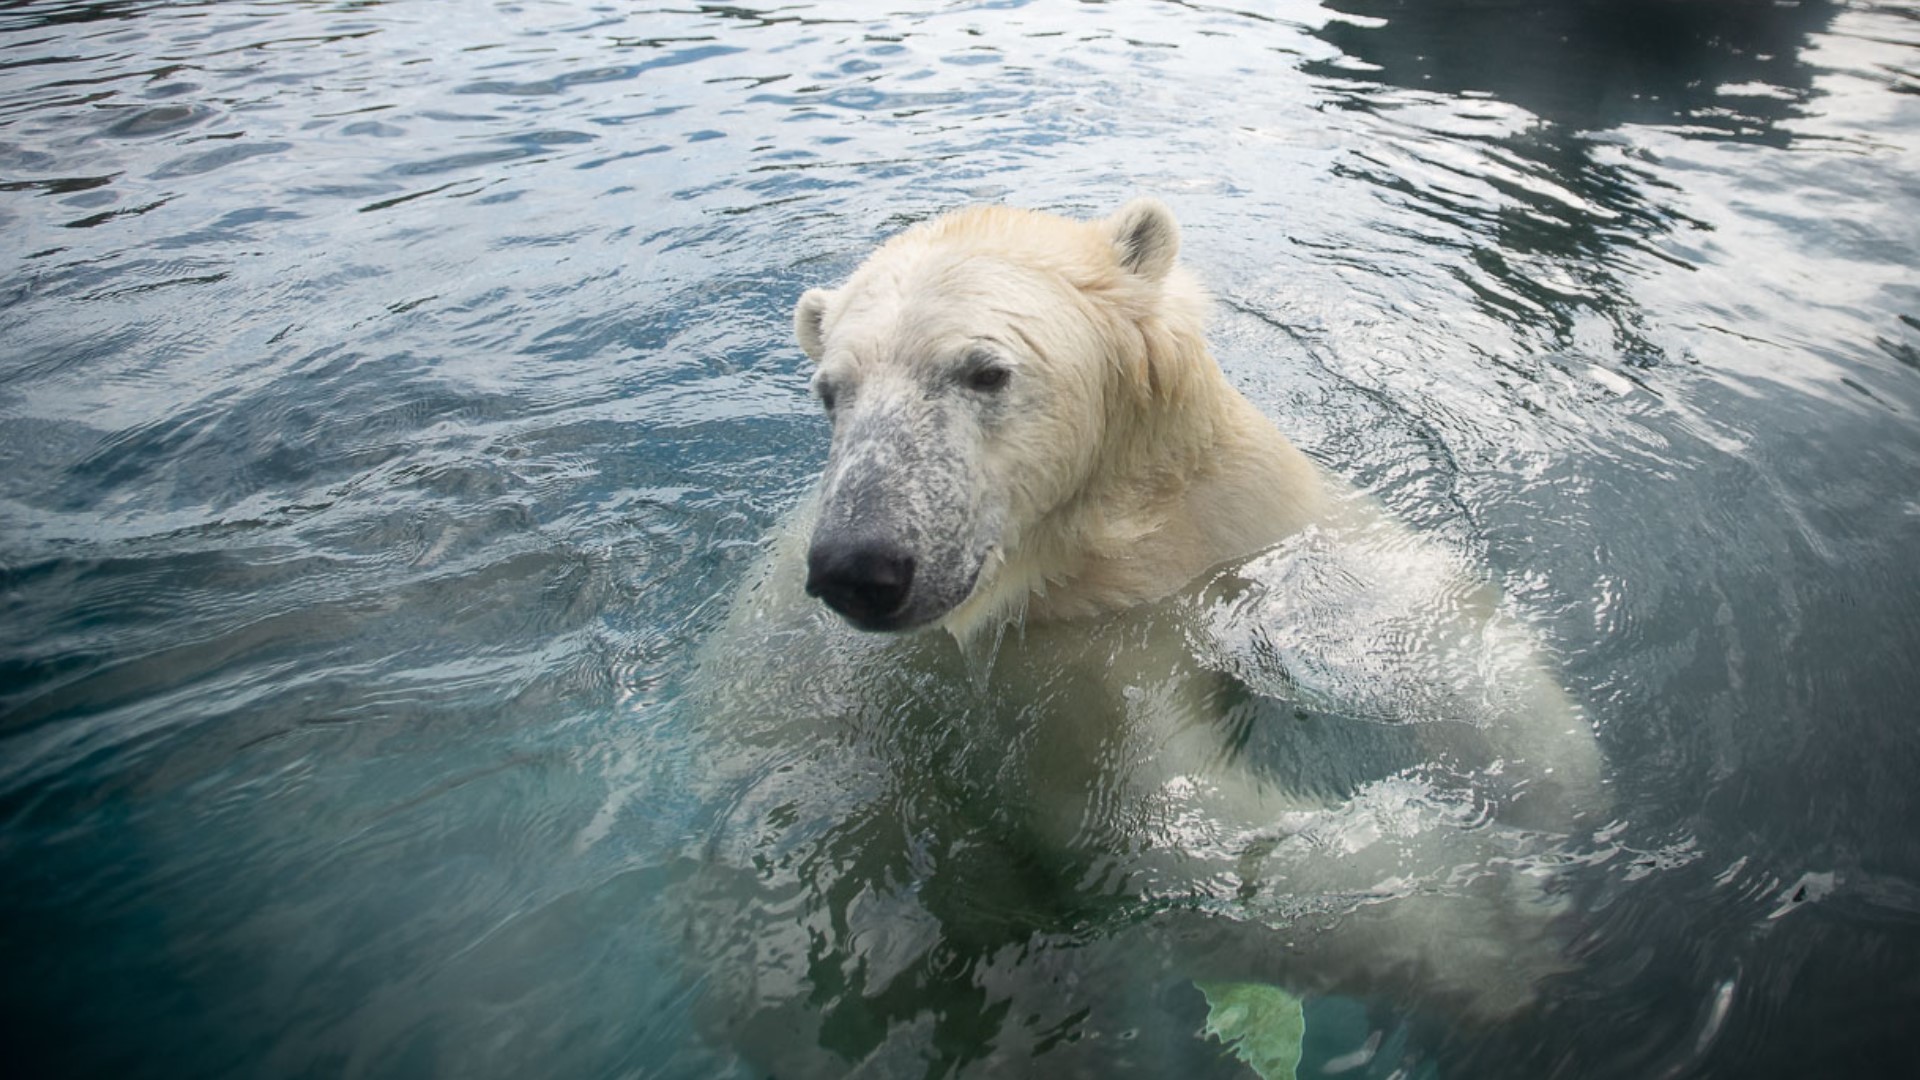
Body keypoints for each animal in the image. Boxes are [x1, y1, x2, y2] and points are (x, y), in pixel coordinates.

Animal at [683, 199, 1612, 1068]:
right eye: (830, 392)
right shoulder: (1031, 683)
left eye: (984, 371)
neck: (1098, 555)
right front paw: (1493, 925)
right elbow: (1158, 831)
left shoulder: (1234, 512)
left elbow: (1406, 605)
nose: (861, 564)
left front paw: (1550, 782)